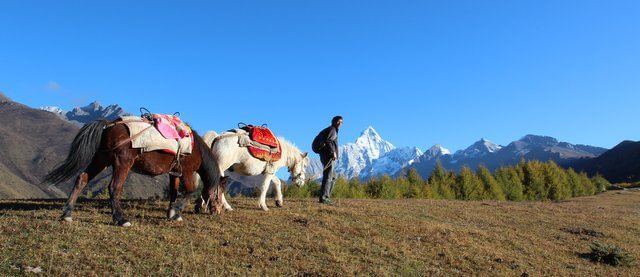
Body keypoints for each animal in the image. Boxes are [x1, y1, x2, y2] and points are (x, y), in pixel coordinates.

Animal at [42, 118, 222, 224]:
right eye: (219, 197)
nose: (217, 212)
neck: (196, 149)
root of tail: (109, 125)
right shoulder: (187, 171)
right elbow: (190, 191)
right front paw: (176, 212)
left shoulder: (174, 173)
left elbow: (173, 192)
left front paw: (172, 212)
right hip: (122, 163)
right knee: (114, 187)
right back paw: (120, 219)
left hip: (101, 160)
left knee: (82, 179)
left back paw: (67, 214)